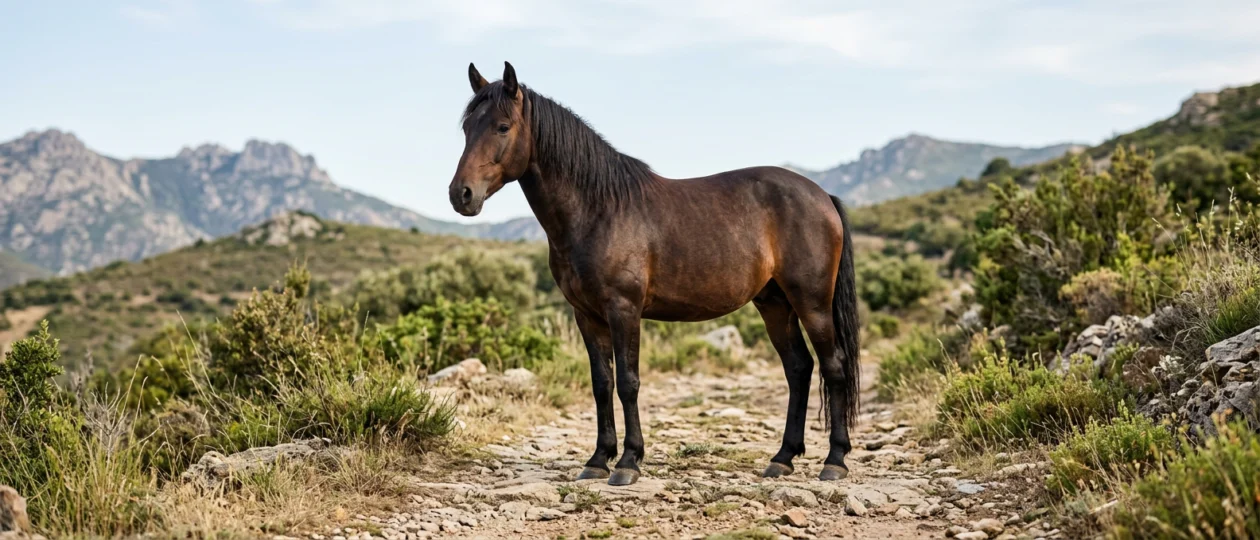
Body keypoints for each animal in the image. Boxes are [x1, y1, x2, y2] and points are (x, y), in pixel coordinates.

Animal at [448, 62, 860, 486]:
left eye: (502, 127)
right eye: (466, 127)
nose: (461, 195)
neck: (599, 209)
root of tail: (822, 196)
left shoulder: (624, 310)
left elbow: (628, 383)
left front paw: (628, 462)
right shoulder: (587, 315)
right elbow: (602, 384)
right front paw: (598, 460)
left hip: (811, 302)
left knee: (834, 366)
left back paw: (835, 460)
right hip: (775, 304)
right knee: (799, 368)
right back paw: (783, 457)